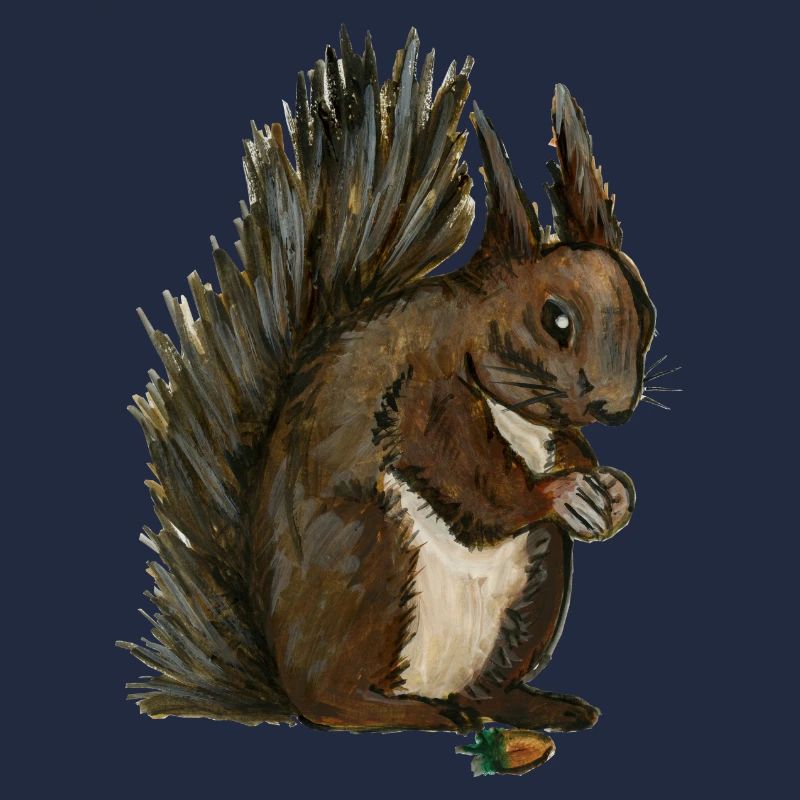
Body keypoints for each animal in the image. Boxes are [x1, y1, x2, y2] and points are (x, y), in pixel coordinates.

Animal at [119, 26, 656, 773]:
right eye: (556, 319)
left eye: (646, 310)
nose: (617, 405)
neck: (512, 409)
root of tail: (282, 675)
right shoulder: (422, 395)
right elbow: (470, 480)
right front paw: (563, 493)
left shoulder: (545, 431)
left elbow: (565, 450)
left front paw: (615, 492)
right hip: (369, 560)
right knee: (333, 706)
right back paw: (403, 711)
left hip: (536, 585)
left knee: (488, 689)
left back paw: (532, 707)